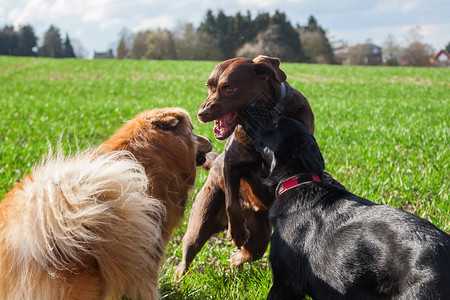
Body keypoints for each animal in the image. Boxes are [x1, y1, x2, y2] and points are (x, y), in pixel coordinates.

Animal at [174, 55, 342, 278]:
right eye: (209, 87)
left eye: (229, 88)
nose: (202, 113)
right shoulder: (231, 163)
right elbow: (232, 203)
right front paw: (237, 233)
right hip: (200, 223)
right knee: (185, 258)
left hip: (261, 233)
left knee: (251, 251)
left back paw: (235, 260)